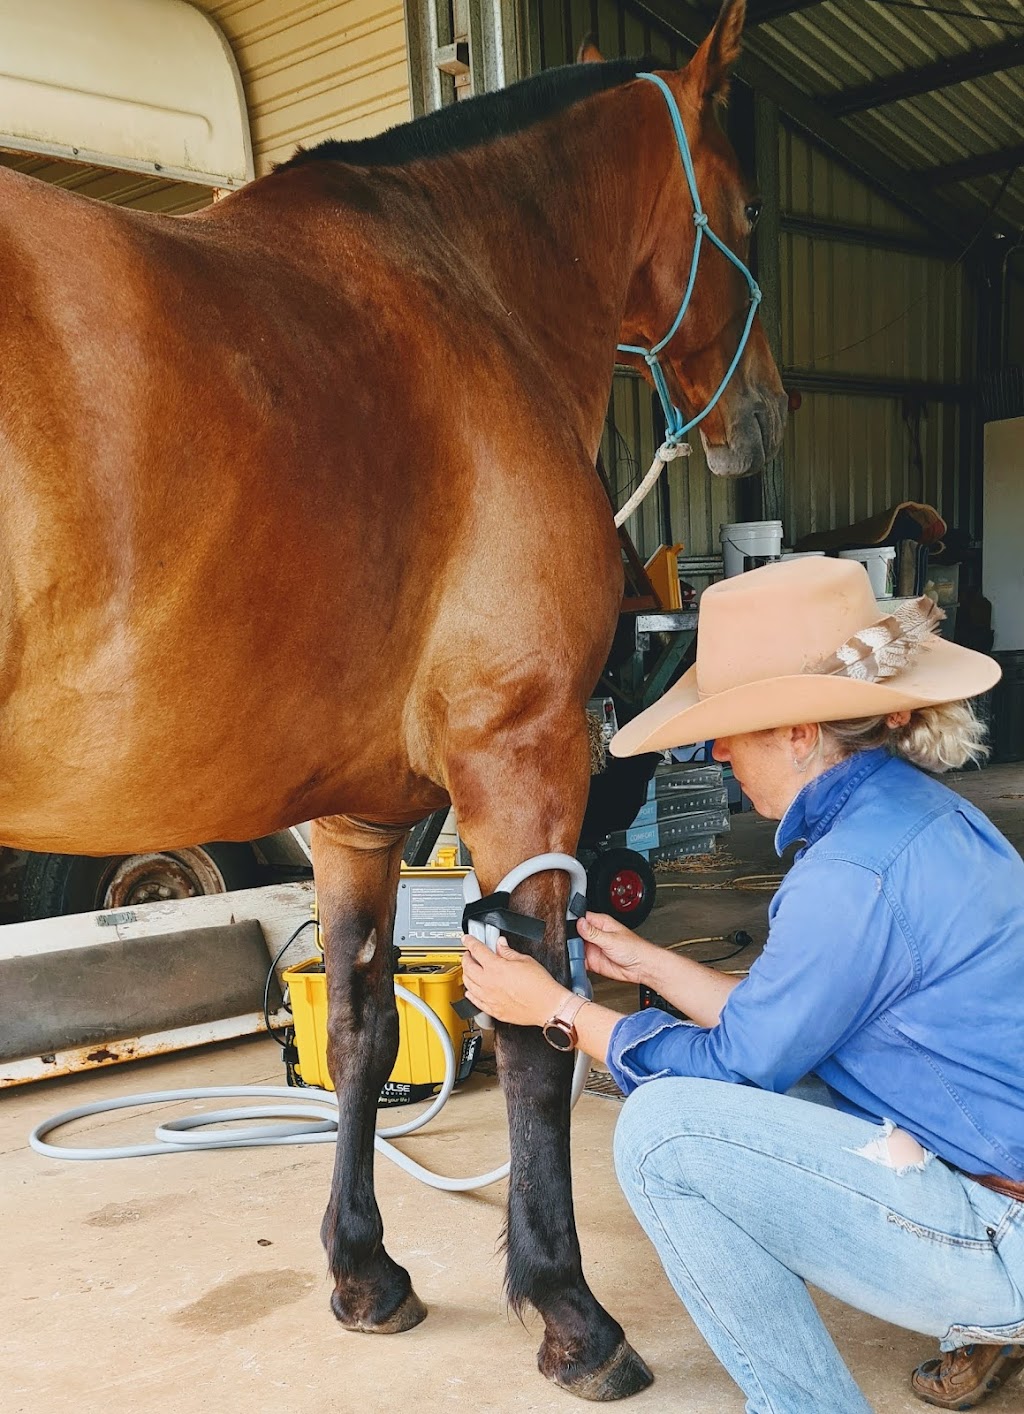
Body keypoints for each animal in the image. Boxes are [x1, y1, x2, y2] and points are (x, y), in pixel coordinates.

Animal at [2, 0, 786, 1391]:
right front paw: (568, 1310)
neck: (462, 289)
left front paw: (363, 1268)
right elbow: (529, 1030)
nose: (765, 419)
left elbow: (360, 1027)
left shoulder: (356, 817)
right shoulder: (520, 759)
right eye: (742, 213)